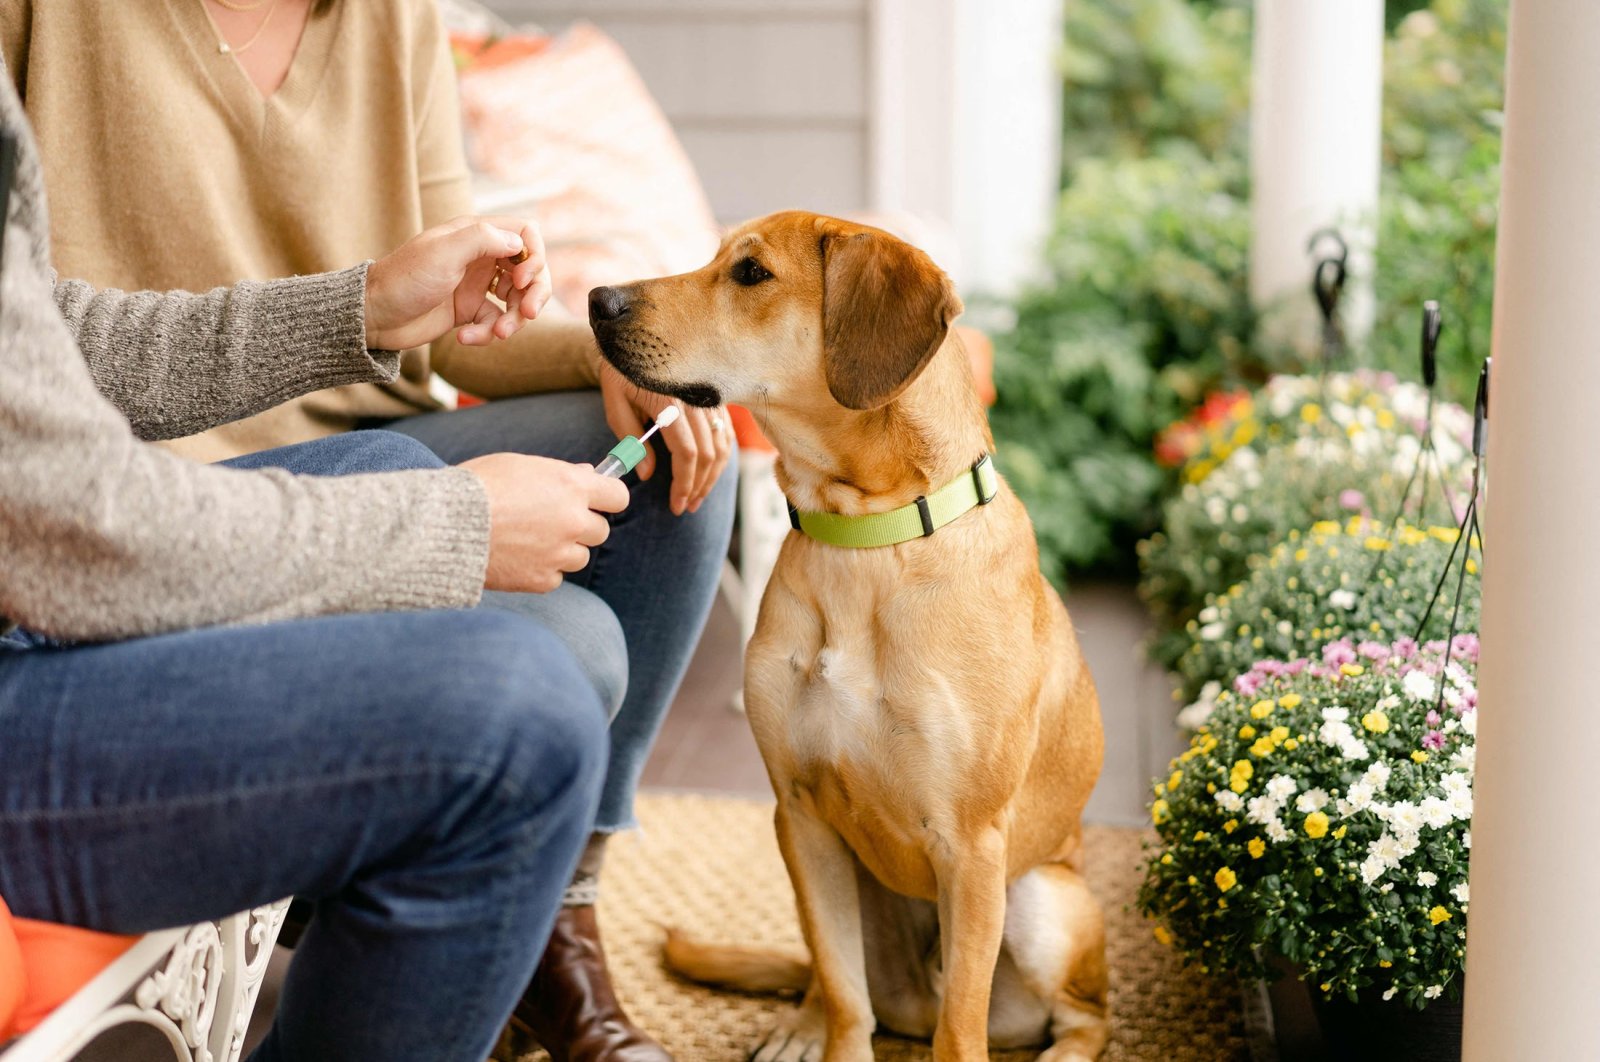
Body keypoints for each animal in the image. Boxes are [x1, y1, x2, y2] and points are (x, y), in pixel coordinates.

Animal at [595, 211, 1107, 1055]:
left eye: (751, 273)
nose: (597, 299)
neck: (866, 540)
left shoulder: (972, 848)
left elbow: (959, 1030)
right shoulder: (799, 817)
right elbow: (842, 993)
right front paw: (826, 1034)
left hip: (1041, 902)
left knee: (1082, 1016)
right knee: (828, 978)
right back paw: (800, 1024)